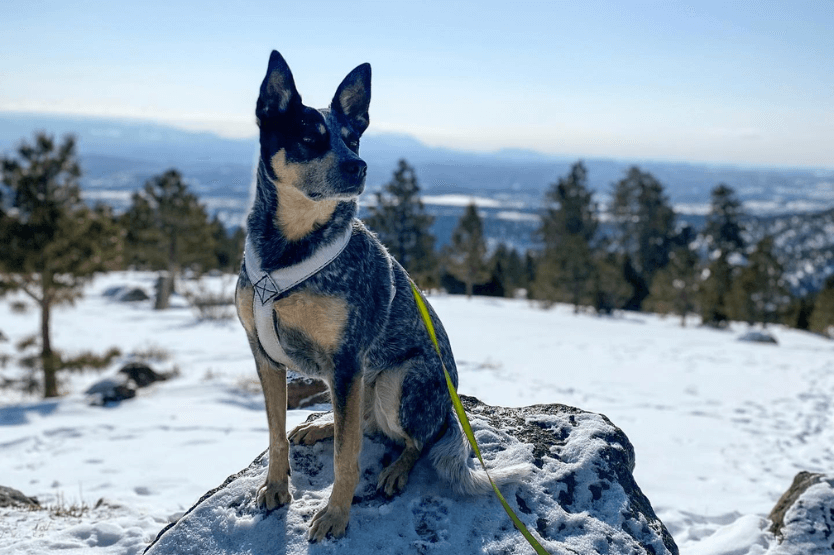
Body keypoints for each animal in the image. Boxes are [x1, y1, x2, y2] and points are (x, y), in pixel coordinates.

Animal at [234, 50, 528, 540]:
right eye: (310, 138)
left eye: (353, 139)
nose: (358, 166)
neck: (289, 250)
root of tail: (449, 410)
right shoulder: (266, 356)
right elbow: (276, 434)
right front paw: (276, 487)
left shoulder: (347, 359)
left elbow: (346, 457)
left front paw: (336, 514)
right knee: (363, 426)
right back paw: (320, 426)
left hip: (397, 380)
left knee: (413, 439)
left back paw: (396, 470)